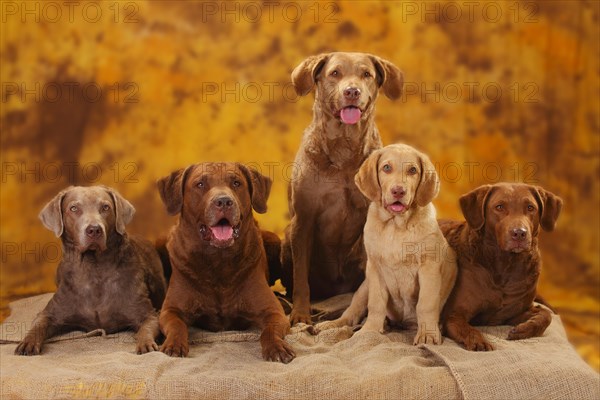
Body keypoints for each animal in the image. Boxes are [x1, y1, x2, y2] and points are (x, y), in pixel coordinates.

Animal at [156, 162, 294, 362]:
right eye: (200, 184)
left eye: (236, 183)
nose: (224, 201)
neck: (217, 261)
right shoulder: (170, 310)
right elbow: (177, 326)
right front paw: (174, 344)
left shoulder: (272, 312)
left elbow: (269, 330)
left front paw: (277, 347)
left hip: (274, 239)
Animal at [282, 51, 404, 324]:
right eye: (335, 73)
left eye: (366, 74)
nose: (352, 91)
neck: (344, 150)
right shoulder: (303, 219)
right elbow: (300, 277)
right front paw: (300, 315)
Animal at [440, 183, 564, 352]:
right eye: (499, 207)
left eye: (530, 207)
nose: (519, 233)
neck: (506, 266)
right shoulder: (454, 314)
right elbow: (468, 329)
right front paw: (479, 342)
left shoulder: (512, 314)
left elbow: (545, 315)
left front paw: (523, 330)